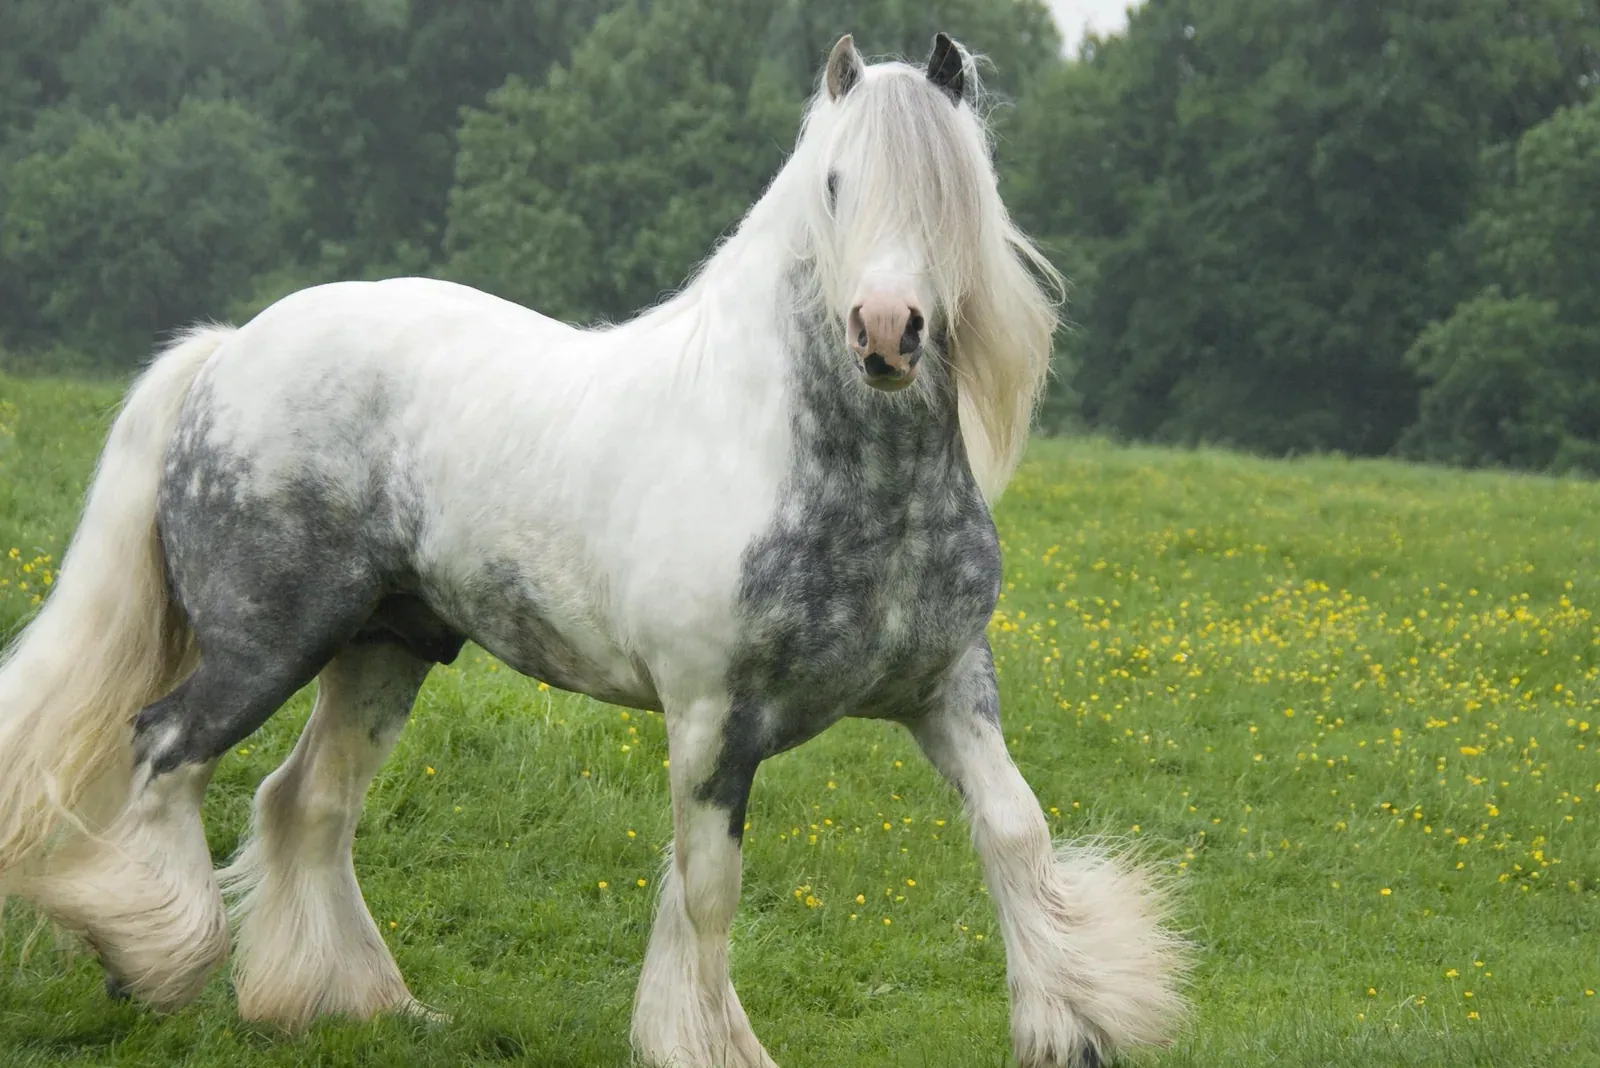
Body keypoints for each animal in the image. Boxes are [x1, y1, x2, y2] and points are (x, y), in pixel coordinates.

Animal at [0, 33, 1185, 1068]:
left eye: (954, 193)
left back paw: (354, 1006)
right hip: (265, 647)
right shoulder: (711, 722)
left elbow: (1016, 833)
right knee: (165, 750)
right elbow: (708, 891)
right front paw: (708, 1047)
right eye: (837, 185)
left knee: (305, 803)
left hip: (383, 647)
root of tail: (228, 349)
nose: (887, 332)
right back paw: (148, 961)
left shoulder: (948, 690)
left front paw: (1070, 1028)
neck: (814, 463)